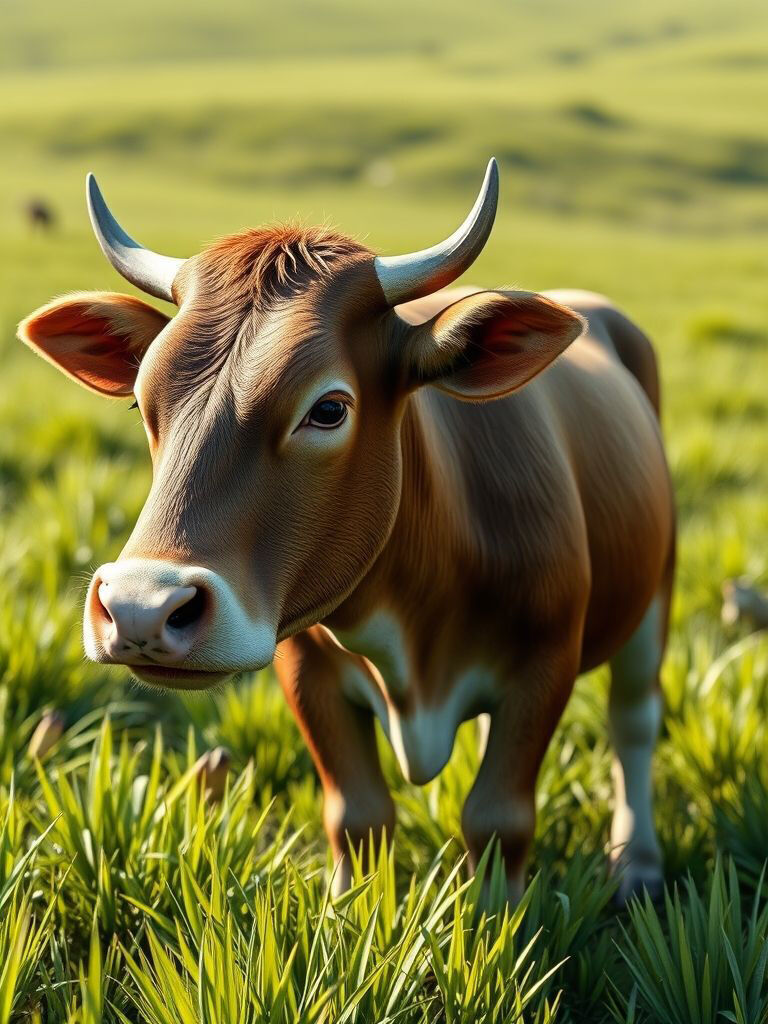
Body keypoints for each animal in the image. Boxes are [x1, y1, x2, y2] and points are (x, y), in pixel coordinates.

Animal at [18, 161, 675, 905]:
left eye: (329, 409)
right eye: (140, 399)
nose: (139, 607)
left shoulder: (547, 659)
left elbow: (498, 818)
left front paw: (496, 925)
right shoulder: (305, 667)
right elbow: (356, 815)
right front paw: (348, 916)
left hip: (656, 591)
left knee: (634, 721)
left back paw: (638, 861)